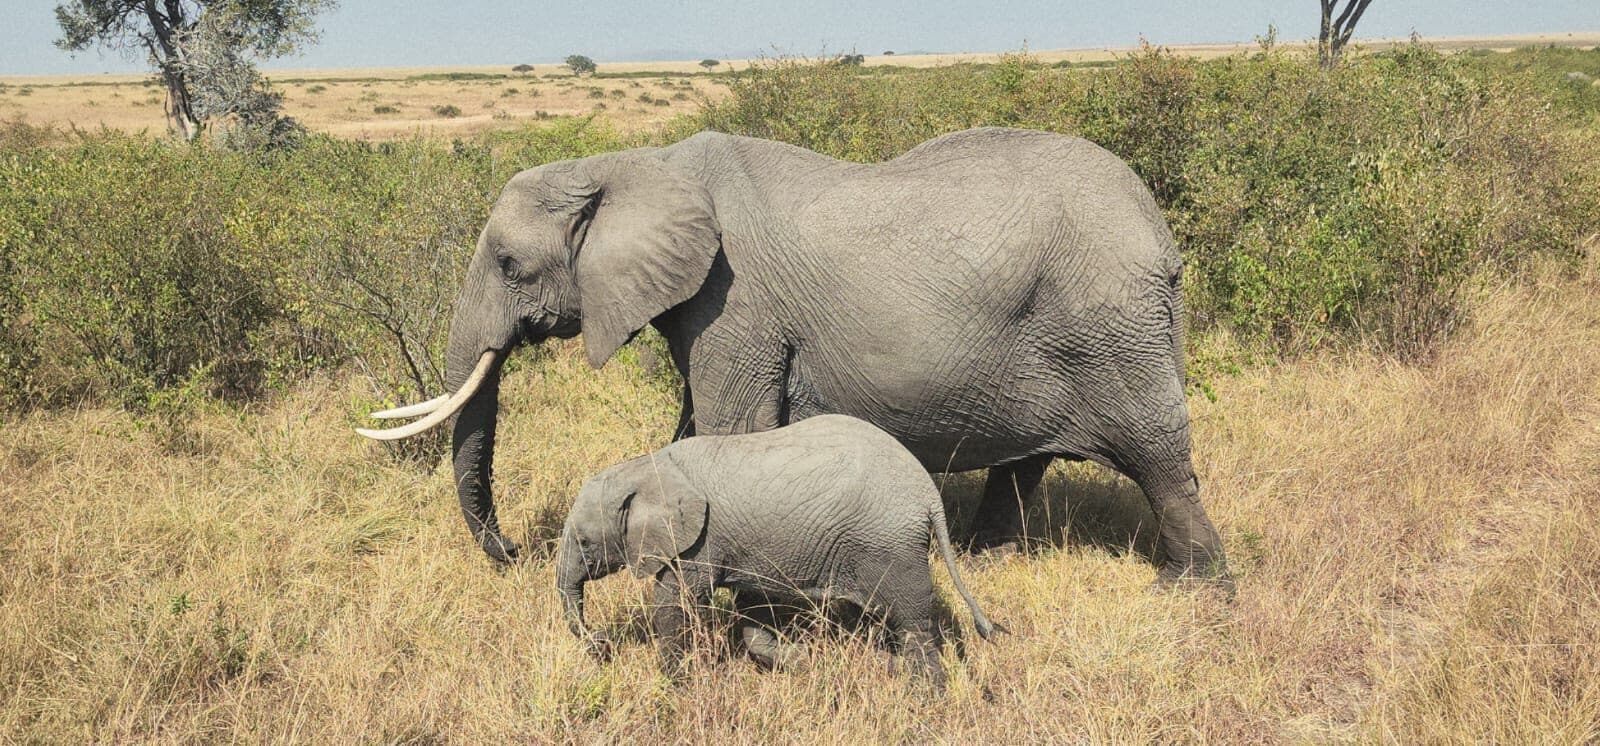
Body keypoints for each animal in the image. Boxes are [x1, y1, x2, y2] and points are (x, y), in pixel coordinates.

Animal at [356, 126, 1230, 587]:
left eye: (509, 265)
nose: (512, 554)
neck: (635, 164)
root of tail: (1162, 234)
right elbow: (693, 428)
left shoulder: (735, 303)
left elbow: (728, 429)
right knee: (1025, 462)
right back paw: (986, 562)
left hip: (1110, 322)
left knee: (1159, 458)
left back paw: (1191, 587)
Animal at [556, 414, 1001, 692]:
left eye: (585, 543)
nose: (603, 645)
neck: (644, 468)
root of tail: (928, 494)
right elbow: (754, 613)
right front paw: (808, 663)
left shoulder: (698, 543)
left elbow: (674, 604)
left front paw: (672, 687)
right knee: (884, 619)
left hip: (890, 545)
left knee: (912, 625)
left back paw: (926, 697)